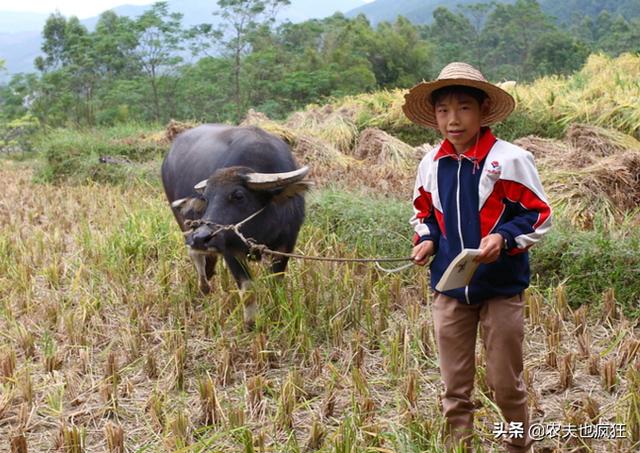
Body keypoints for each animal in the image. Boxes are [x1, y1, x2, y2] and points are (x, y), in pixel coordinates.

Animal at [160, 124, 310, 324]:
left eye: (238, 195)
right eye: (206, 198)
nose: (200, 237)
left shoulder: (286, 245)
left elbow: (275, 284)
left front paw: (276, 314)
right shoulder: (229, 250)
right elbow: (248, 291)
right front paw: (250, 325)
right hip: (183, 222)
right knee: (196, 256)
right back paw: (203, 289)